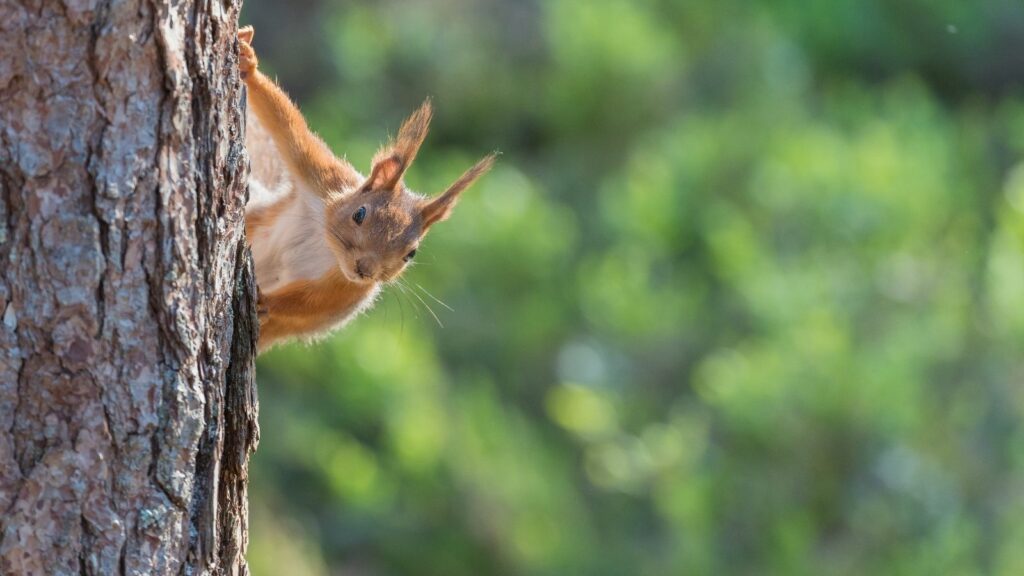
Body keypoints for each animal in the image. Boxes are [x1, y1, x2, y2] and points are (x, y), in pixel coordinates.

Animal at [239, 26, 495, 352]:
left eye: (411, 253)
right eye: (359, 214)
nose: (366, 269)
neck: (328, 247)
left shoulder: (349, 291)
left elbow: (309, 304)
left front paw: (266, 301)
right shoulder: (325, 177)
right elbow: (288, 127)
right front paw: (248, 64)